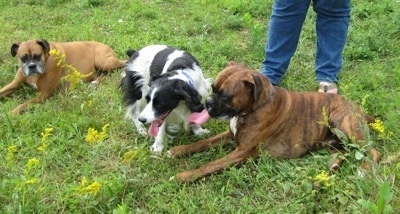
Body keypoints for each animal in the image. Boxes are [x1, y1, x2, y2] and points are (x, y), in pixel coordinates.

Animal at [169, 61, 382, 181]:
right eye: (212, 88)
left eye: (225, 95)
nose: (208, 102)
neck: (253, 107)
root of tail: (358, 108)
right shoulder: (230, 135)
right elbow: (202, 143)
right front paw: (178, 150)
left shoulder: (241, 152)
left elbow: (209, 165)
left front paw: (183, 176)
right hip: (333, 141)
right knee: (344, 152)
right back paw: (334, 165)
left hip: (341, 121)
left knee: (373, 152)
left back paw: (363, 171)